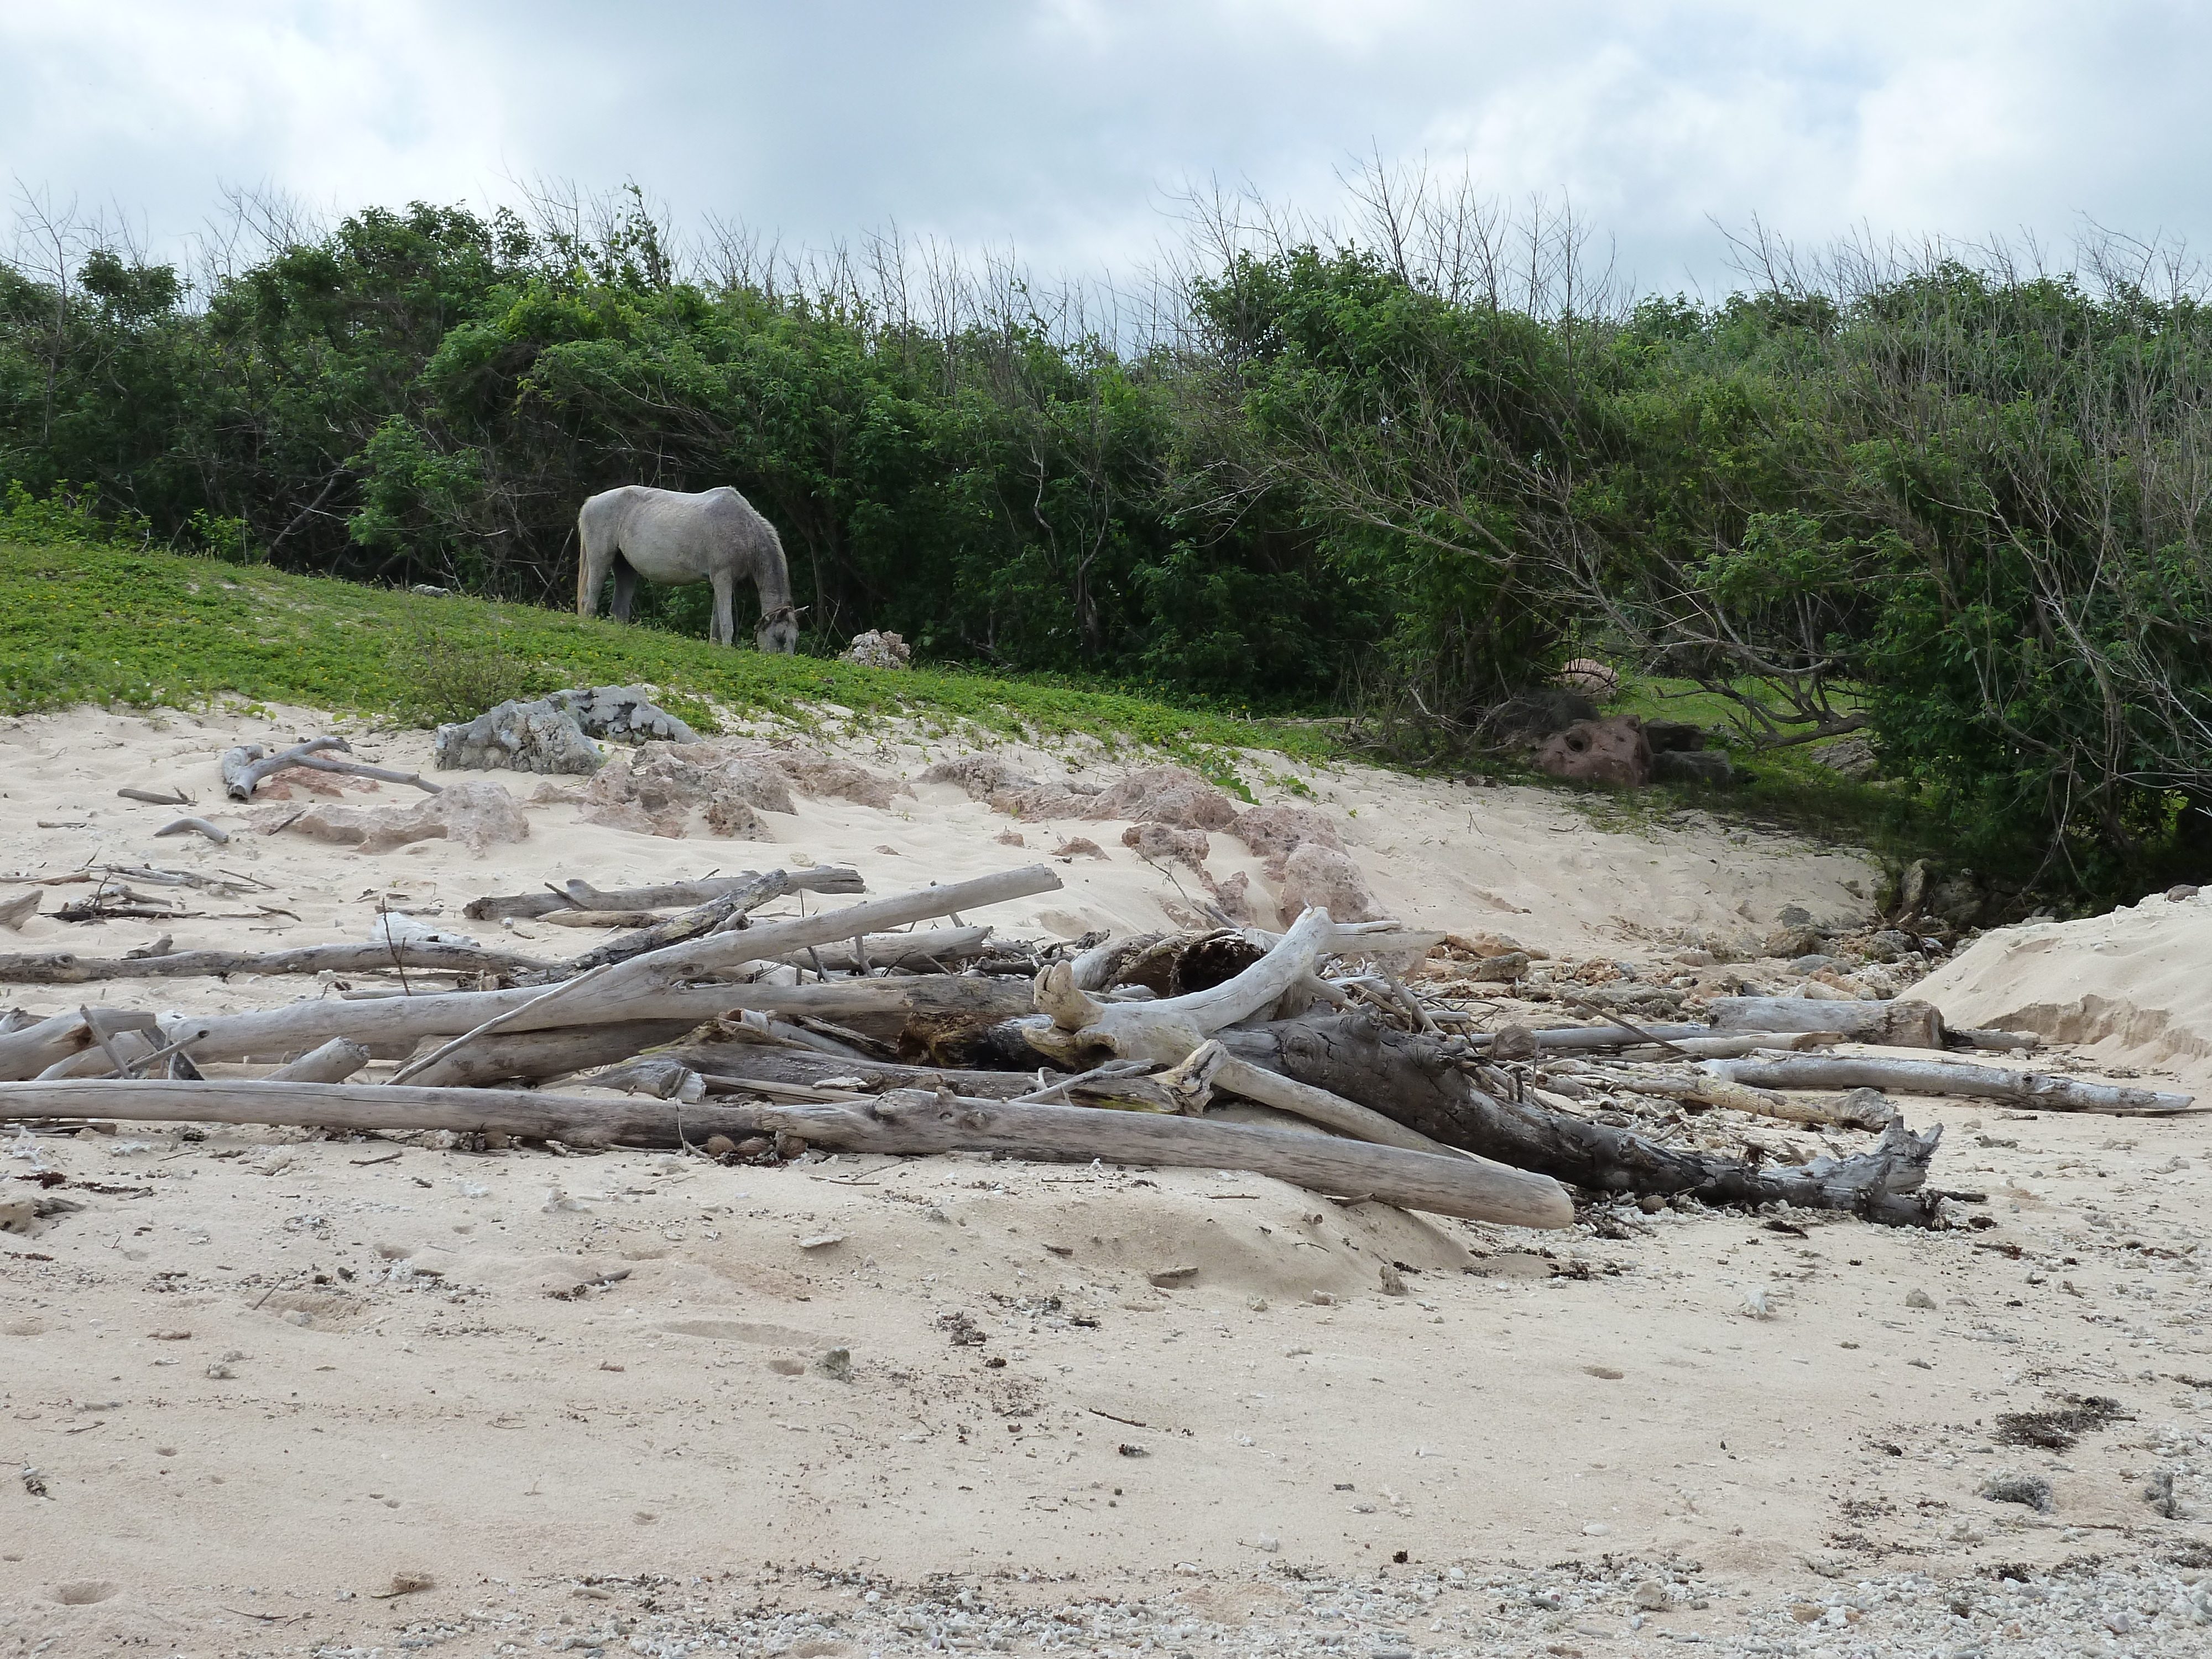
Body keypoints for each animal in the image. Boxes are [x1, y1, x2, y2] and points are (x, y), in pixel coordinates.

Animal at [580, 484, 805, 655]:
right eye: (780, 637)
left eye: (795, 637)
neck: (745, 531)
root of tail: (591, 502)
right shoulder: (723, 578)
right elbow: (727, 624)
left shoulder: (723, 582)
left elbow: (716, 622)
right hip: (601, 560)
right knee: (589, 601)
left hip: (626, 568)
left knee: (619, 611)